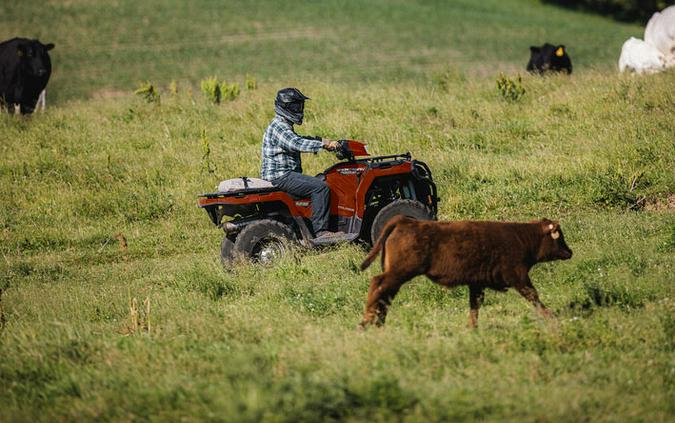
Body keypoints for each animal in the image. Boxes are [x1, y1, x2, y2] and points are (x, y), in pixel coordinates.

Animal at [362, 217, 572, 330]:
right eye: (559, 236)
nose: (570, 252)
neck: (522, 237)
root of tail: (405, 221)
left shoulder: (476, 283)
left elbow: (474, 305)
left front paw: (472, 327)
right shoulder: (518, 276)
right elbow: (533, 296)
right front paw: (551, 317)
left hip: (396, 275)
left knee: (385, 295)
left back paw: (378, 322)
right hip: (399, 273)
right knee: (377, 285)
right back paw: (366, 322)